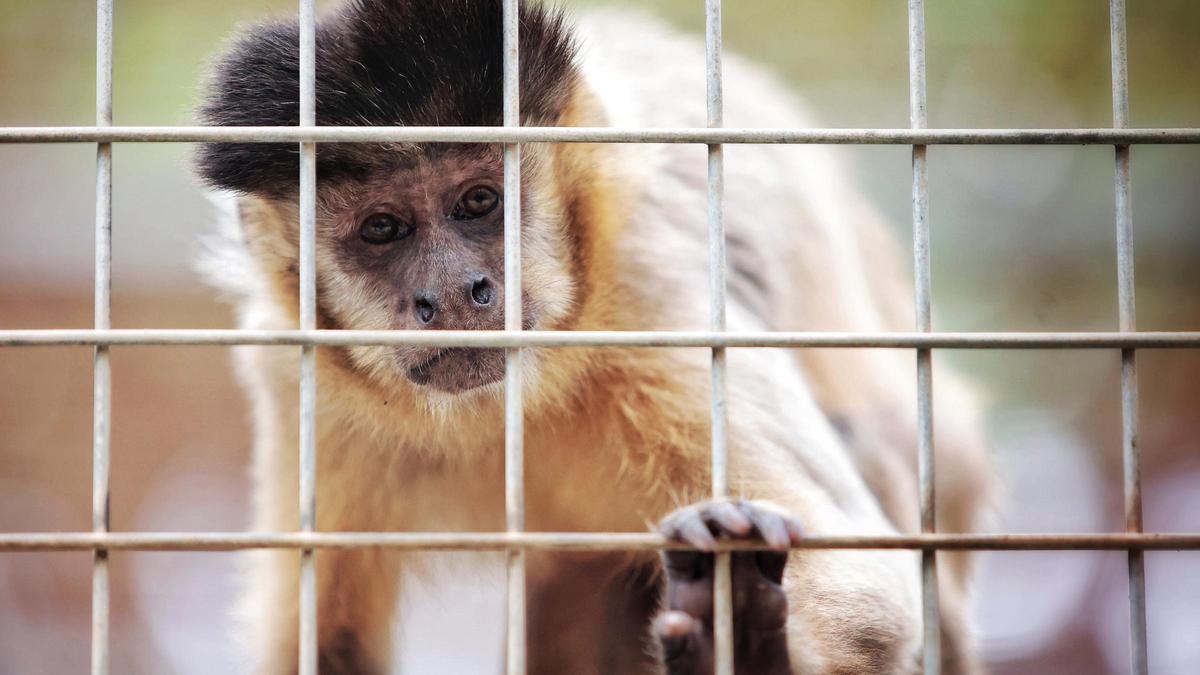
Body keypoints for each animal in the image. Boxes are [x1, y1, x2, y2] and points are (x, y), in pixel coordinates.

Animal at [194, 1, 993, 672]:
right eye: (383, 229)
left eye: (478, 202)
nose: (451, 291)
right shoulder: (295, 369)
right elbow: (324, 646)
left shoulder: (649, 281)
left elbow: (868, 612)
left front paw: (737, 630)